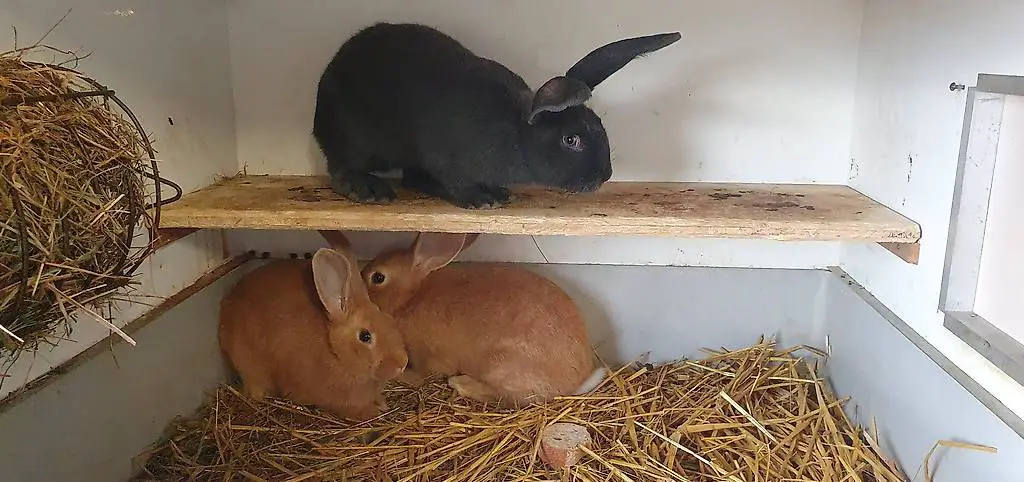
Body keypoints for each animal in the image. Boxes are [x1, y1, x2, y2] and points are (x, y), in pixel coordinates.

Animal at [218, 245, 408, 421]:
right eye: (365, 336)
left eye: (387, 318)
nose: (403, 363)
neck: (337, 354)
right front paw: (371, 412)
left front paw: (382, 404)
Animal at [312, 22, 681, 209]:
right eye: (571, 139)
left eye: (601, 126)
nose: (605, 176)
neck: (519, 131)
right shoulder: (445, 157)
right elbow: (458, 183)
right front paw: (482, 200)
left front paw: (498, 194)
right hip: (354, 138)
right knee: (342, 168)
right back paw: (369, 191)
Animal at [320, 230, 606, 408]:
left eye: (378, 277)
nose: (359, 289)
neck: (412, 297)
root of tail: (578, 381)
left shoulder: (430, 358)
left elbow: (424, 375)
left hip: (500, 367)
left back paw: (461, 384)